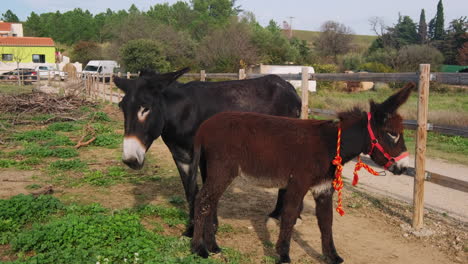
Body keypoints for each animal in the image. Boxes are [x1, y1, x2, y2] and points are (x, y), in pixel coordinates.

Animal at [190, 83, 414, 262]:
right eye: (392, 134)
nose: (404, 168)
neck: (330, 145)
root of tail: (204, 128)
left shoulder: (323, 188)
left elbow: (326, 222)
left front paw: (332, 256)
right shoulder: (298, 183)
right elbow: (289, 216)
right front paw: (283, 255)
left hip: (211, 168)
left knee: (210, 202)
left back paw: (213, 246)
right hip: (222, 169)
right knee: (202, 200)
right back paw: (198, 249)